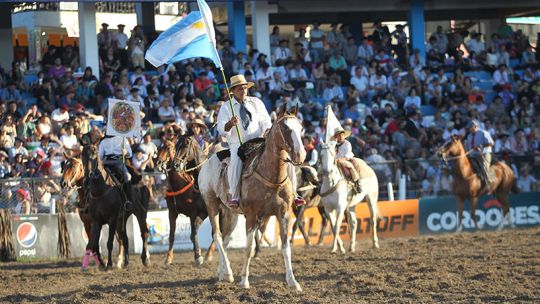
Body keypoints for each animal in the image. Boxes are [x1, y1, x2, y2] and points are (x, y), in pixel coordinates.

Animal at [155, 138, 214, 266]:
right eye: (159, 148)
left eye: (169, 148)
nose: (158, 163)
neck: (179, 184)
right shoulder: (172, 212)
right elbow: (172, 235)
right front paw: (168, 258)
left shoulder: (194, 213)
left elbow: (193, 234)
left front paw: (198, 255)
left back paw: (209, 254)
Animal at [199, 111, 308, 290]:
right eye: (285, 128)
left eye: (301, 128)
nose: (300, 154)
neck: (271, 176)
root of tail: (208, 161)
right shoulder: (251, 216)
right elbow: (249, 248)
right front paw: (244, 280)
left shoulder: (284, 214)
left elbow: (286, 249)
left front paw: (293, 282)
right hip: (211, 204)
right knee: (218, 236)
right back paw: (229, 273)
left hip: (230, 212)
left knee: (226, 239)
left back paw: (222, 272)